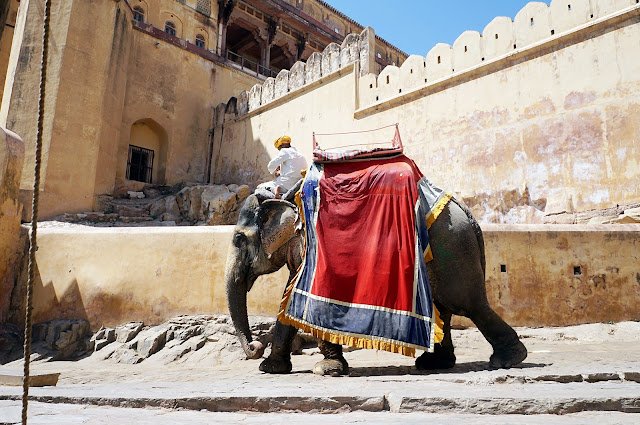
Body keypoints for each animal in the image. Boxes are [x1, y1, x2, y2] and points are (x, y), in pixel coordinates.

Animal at [225, 188, 524, 374]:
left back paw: (508, 359)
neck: (285, 197)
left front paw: (326, 370)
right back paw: (434, 363)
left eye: (238, 239)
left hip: (452, 247)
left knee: (466, 304)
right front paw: (271, 369)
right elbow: (290, 299)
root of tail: (468, 213)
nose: (255, 347)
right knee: (444, 307)